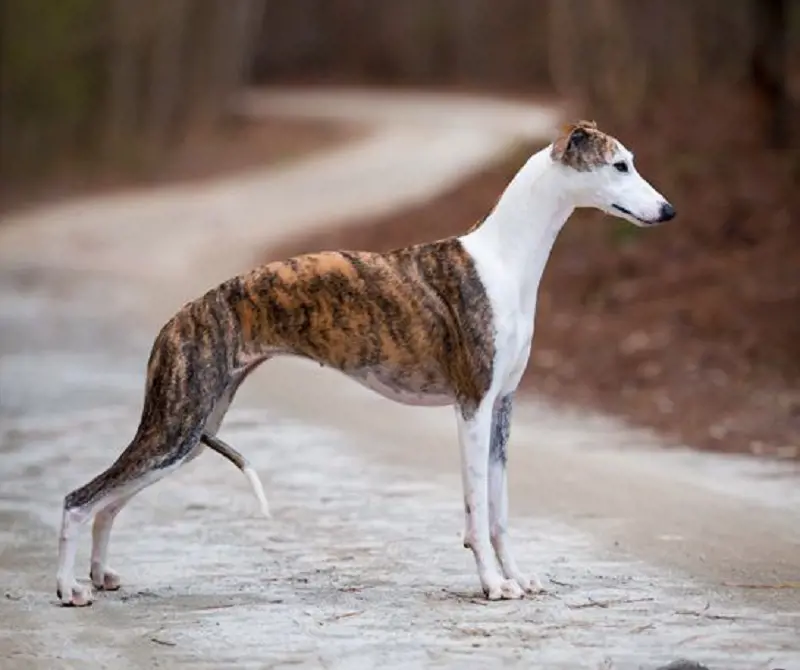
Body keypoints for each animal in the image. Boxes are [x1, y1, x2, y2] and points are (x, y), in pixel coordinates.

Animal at [56, 121, 676, 608]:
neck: (504, 259)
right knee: (80, 499)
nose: (669, 211)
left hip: (189, 433)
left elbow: (499, 511)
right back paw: (68, 589)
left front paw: (517, 578)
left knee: (110, 503)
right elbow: (477, 509)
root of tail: (178, 318)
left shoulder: (503, 406)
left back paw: (100, 576)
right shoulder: (472, 406)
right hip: (177, 425)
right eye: (619, 165)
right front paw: (493, 585)